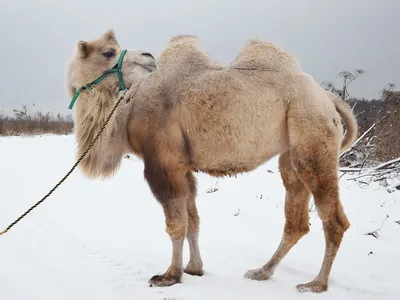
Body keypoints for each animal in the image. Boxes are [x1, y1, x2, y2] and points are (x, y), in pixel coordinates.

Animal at [66, 29, 360, 292]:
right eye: (108, 52)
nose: (148, 57)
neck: (130, 110)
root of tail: (328, 98)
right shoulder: (184, 166)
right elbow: (192, 219)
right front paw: (194, 269)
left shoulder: (164, 162)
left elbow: (176, 224)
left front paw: (169, 276)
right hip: (292, 151)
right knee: (296, 220)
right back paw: (262, 272)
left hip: (312, 133)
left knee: (333, 219)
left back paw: (316, 284)